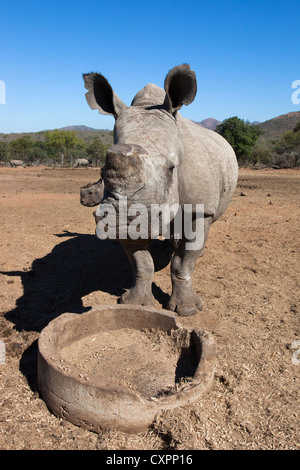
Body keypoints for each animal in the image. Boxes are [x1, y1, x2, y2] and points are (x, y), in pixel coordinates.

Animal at [83, 63, 238, 316]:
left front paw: (186, 310)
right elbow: (142, 263)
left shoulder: (200, 209)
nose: (119, 222)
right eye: (102, 171)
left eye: (171, 169)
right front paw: (136, 303)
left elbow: (182, 263)